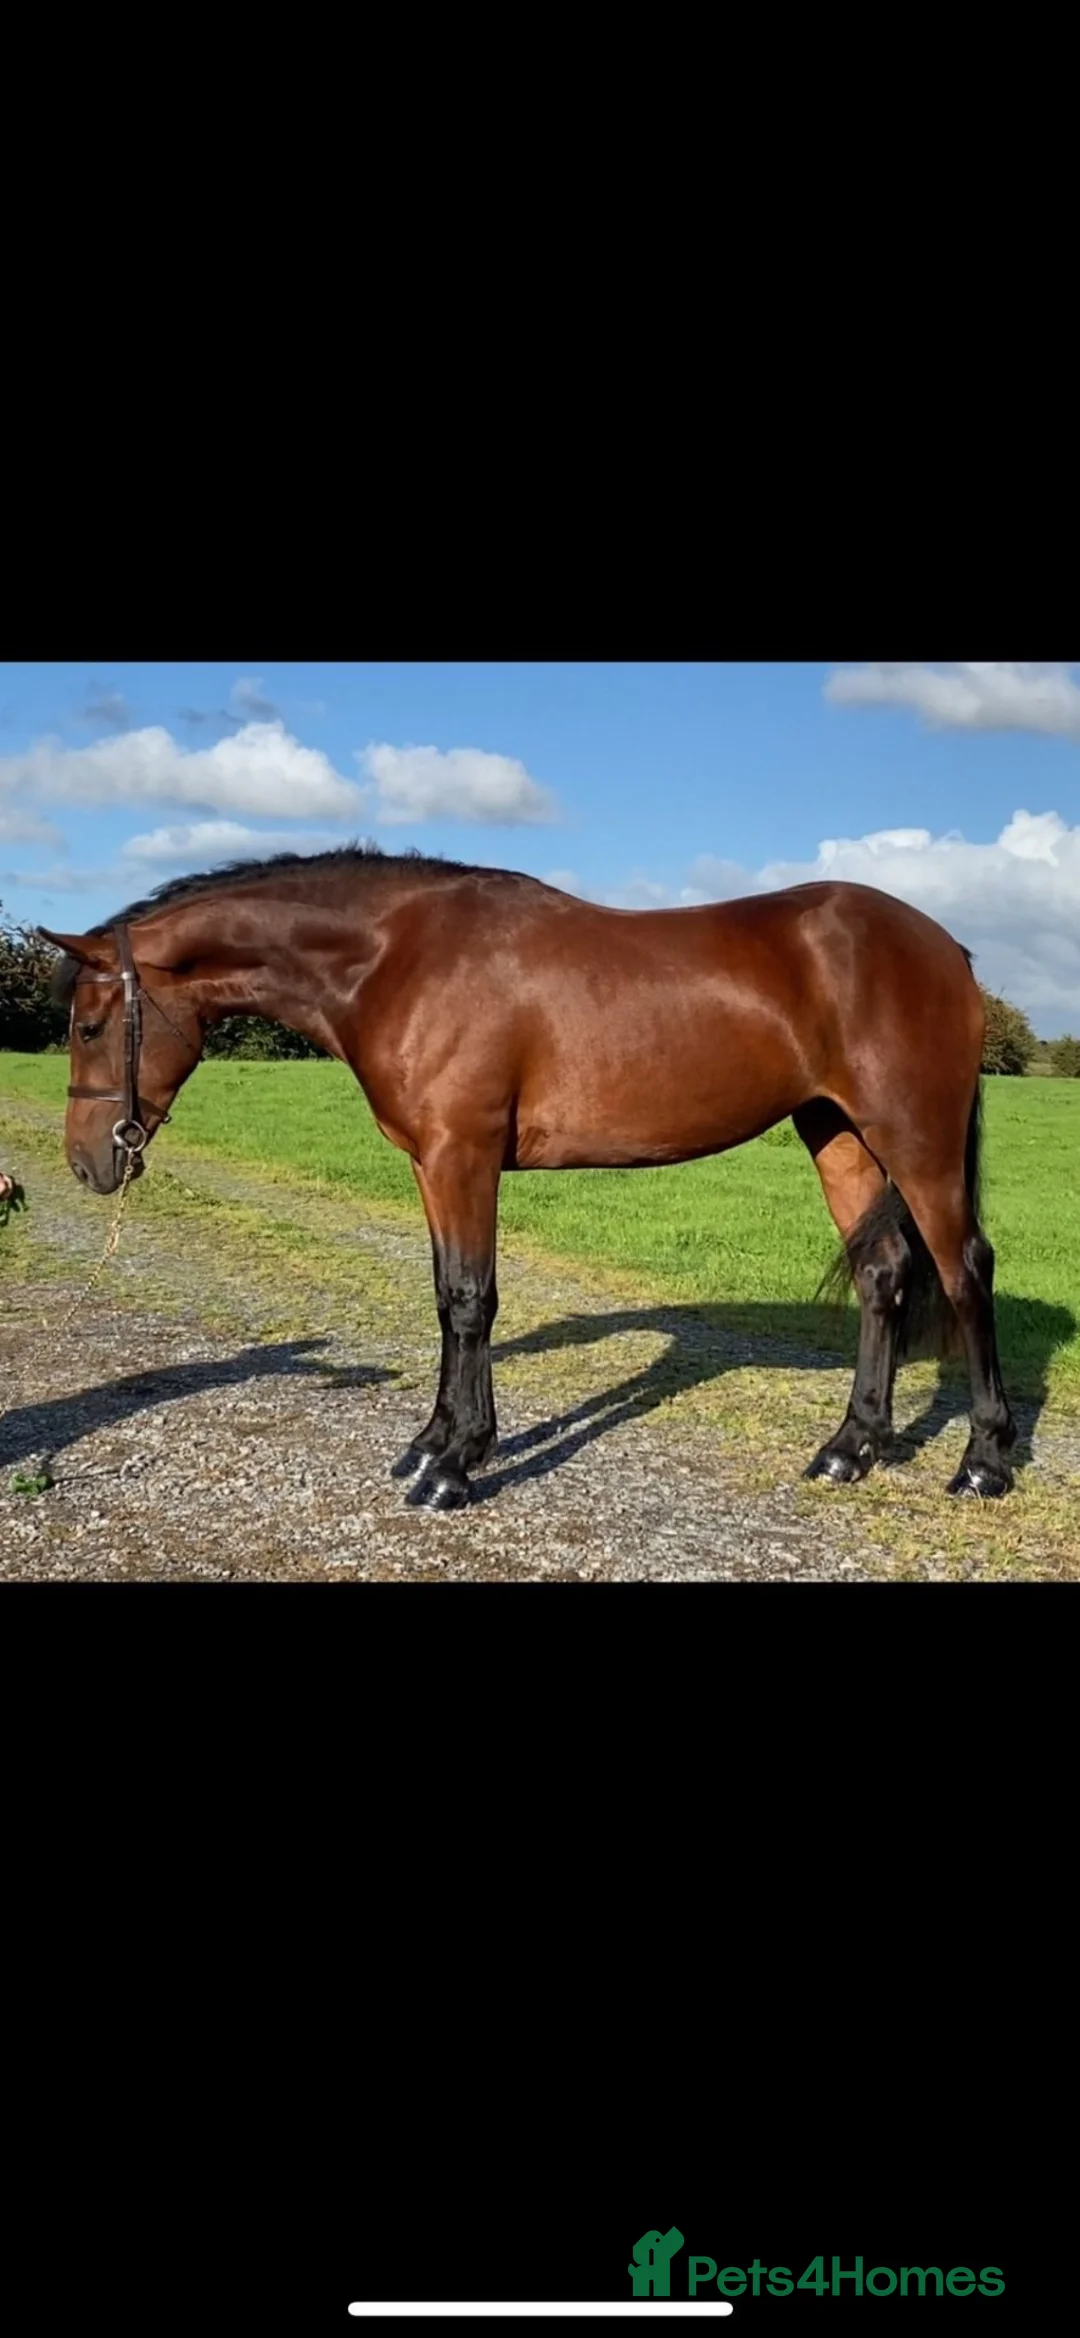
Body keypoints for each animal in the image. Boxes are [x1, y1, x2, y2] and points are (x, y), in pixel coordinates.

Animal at [41, 844, 1017, 1511]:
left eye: (89, 1027)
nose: (88, 1161)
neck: (397, 957)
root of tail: (946, 947)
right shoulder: (431, 1164)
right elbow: (446, 1297)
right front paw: (431, 1443)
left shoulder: (464, 1155)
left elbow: (473, 1300)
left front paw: (456, 1466)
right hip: (838, 1134)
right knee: (883, 1273)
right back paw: (850, 1448)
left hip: (916, 1140)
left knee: (966, 1272)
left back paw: (983, 1462)